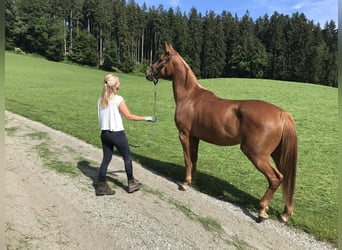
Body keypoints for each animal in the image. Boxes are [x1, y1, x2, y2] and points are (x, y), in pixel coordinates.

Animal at [145, 43, 296, 223]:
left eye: (161, 59)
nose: (147, 72)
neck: (190, 97)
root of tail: (282, 114)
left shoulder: (184, 134)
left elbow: (187, 159)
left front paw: (185, 183)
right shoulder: (195, 137)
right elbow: (194, 158)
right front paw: (193, 180)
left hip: (256, 154)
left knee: (275, 178)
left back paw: (261, 210)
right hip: (277, 155)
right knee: (285, 177)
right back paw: (284, 212)